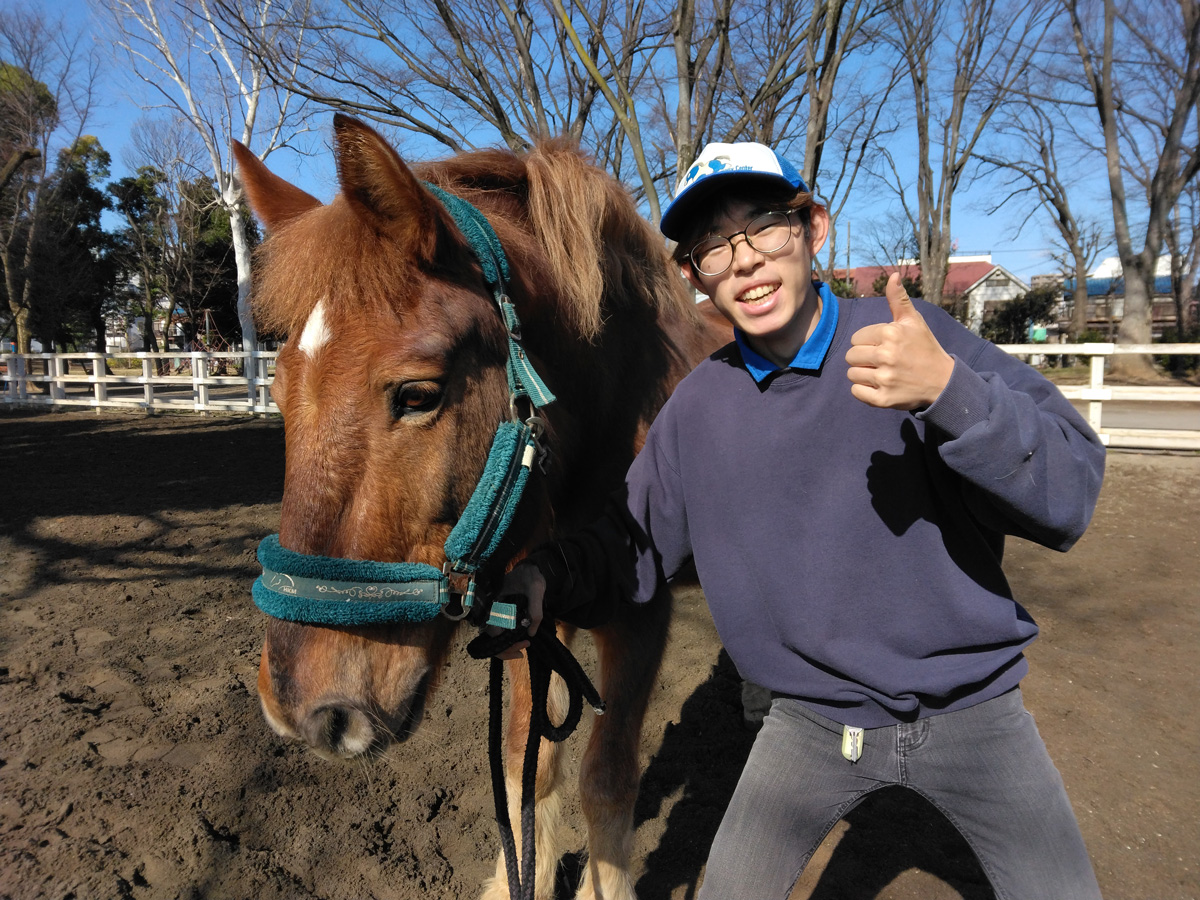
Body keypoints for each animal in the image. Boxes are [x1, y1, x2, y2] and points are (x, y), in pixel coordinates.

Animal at [233, 114, 728, 900]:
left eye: (418, 394)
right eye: (278, 392)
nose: (304, 711)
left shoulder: (640, 622)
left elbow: (605, 780)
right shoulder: (529, 612)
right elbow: (530, 769)